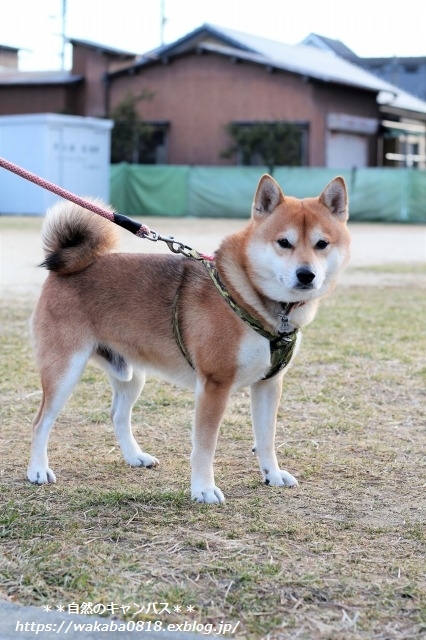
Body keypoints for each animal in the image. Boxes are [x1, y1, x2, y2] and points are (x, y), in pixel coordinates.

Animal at [28, 176, 352, 504]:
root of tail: (66, 269)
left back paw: (135, 457)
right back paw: (38, 470)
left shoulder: (269, 384)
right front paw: (203, 489)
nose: (306, 275)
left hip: (131, 374)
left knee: (118, 415)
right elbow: (205, 446)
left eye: (321, 244)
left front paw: (271, 475)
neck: (249, 298)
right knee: (41, 422)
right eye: (284, 242)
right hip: (65, 371)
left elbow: (266, 438)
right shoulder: (215, 384)